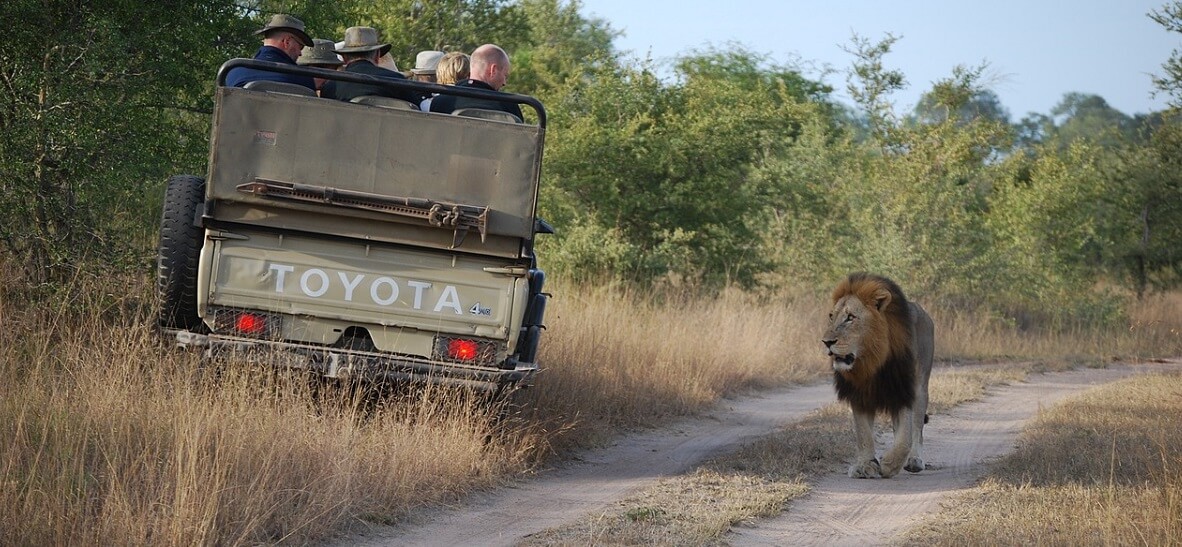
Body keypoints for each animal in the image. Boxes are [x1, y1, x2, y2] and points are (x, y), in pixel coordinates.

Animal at [822, 271, 931, 477]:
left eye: (850, 317)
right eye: (831, 316)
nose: (826, 342)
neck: (871, 361)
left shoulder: (903, 388)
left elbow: (906, 436)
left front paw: (890, 464)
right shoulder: (859, 393)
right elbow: (863, 434)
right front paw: (865, 464)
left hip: (920, 388)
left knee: (917, 427)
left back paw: (914, 460)